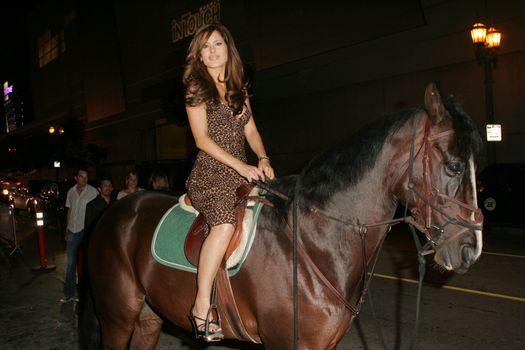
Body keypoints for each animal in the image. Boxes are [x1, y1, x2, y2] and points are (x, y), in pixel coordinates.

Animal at [85, 83, 484, 348]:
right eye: (454, 165)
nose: (471, 249)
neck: (315, 241)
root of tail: (114, 211)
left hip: (149, 318)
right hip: (117, 318)